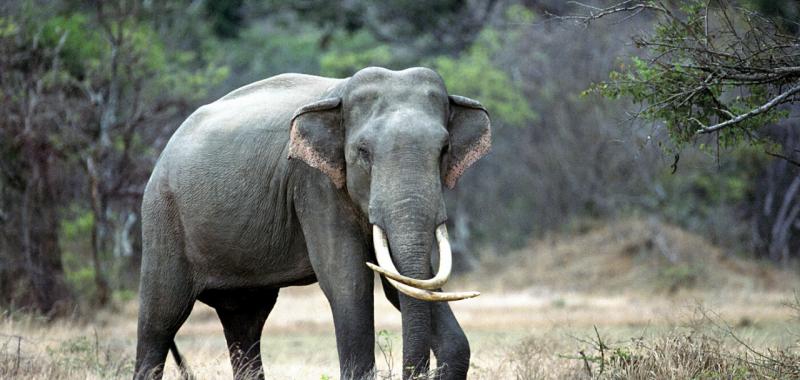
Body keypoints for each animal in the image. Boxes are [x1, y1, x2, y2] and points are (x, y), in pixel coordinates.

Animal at [134, 67, 490, 378]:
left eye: (444, 149)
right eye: (363, 152)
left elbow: (405, 282)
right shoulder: (314, 185)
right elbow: (348, 282)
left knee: (245, 321)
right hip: (162, 217)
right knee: (160, 320)